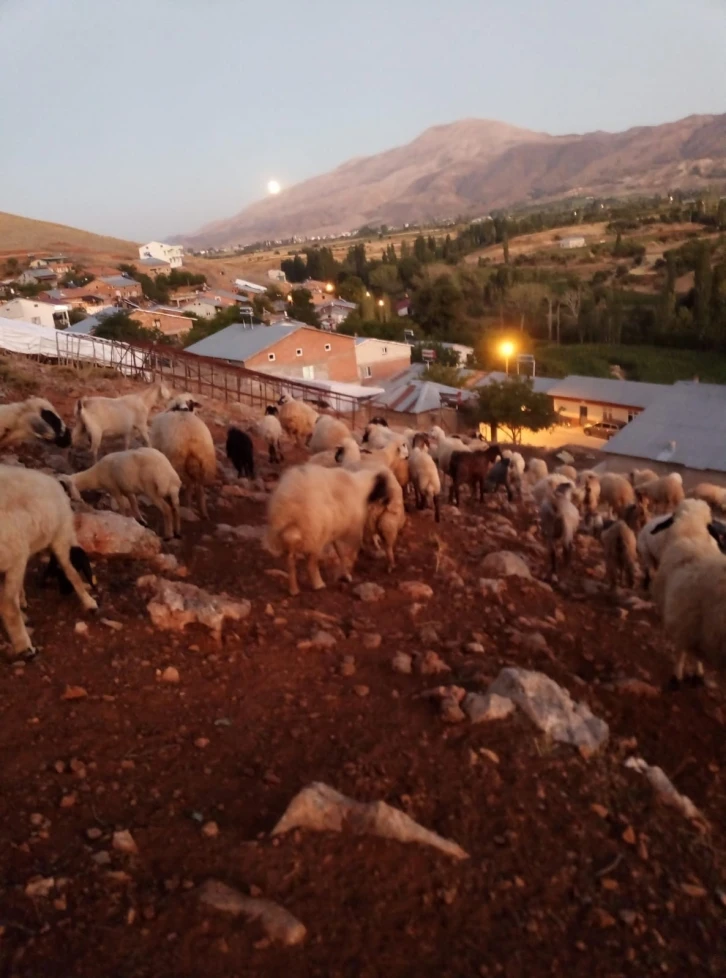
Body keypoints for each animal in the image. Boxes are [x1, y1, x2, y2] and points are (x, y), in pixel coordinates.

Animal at [0, 464, 97, 656]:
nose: (81, 499)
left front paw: (22, 597)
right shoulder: (62, 536)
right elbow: (72, 573)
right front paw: (89, 601)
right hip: (15, 549)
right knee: (7, 605)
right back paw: (25, 647)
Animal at [264, 466, 396, 596]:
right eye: (384, 485)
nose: (388, 501)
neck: (362, 487)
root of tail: (288, 505)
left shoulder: (336, 529)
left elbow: (339, 551)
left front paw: (345, 573)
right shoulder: (353, 530)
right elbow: (351, 552)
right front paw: (347, 572)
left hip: (292, 535)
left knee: (290, 560)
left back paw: (294, 590)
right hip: (316, 532)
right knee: (311, 563)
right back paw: (318, 584)